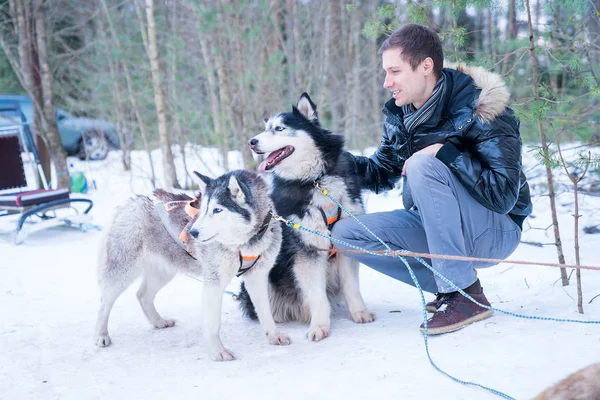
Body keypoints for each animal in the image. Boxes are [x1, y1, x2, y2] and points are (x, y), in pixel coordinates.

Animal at [94, 169, 290, 360]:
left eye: (217, 209)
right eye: (203, 209)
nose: (192, 232)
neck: (243, 244)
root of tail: (131, 202)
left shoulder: (257, 277)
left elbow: (266, 312)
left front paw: (274, 335)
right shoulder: (214, 282)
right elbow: (213, 323)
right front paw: (218, 352)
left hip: (164, 271)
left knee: (142, 295)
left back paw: (158, 321)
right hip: (123, 272)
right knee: (104, 302)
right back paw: (101, 335)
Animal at [239, 93, 376, 340]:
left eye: (279, 128)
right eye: (265, 129)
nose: (252, 142)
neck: (315, 180)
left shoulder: (344, 243)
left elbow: (351, 286)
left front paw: (359, 312)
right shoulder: (307, 249)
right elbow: (316, 295)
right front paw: (320, 326)